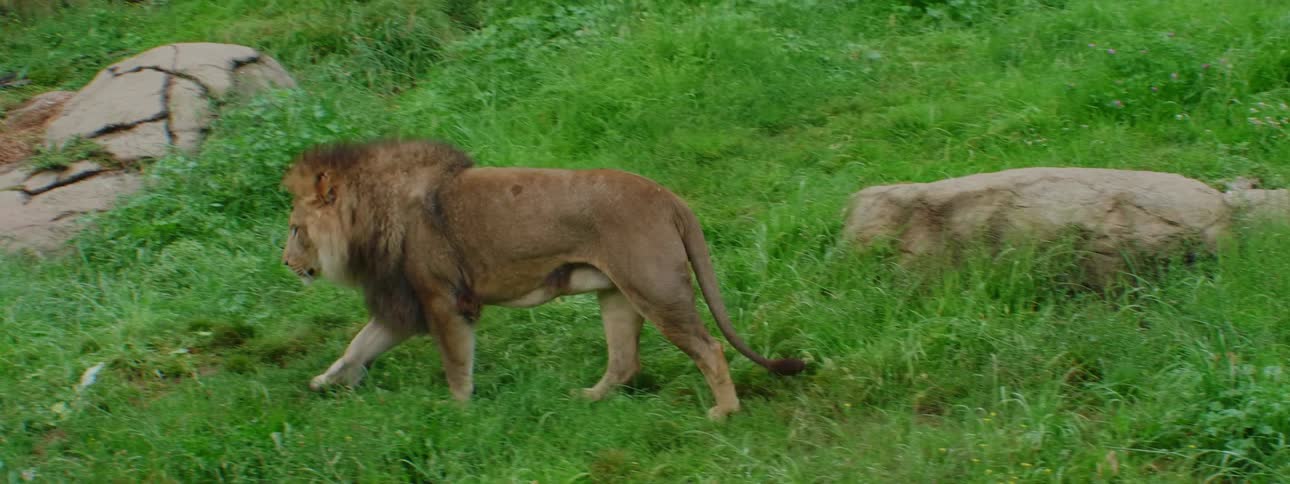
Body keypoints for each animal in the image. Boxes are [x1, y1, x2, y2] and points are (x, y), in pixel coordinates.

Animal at [281, 139, 805, 420]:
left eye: (294, 229)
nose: (285, 263)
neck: (370, 216)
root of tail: (669, 197)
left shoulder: (442, 299)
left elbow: (455, 363)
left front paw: (458, 411)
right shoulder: (404, 303)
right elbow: (357, 346)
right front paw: (324, 383)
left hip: (656, 289)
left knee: (709, 347)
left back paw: (725, 412)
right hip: (618, 295)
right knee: (625, 361)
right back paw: (587, 398)